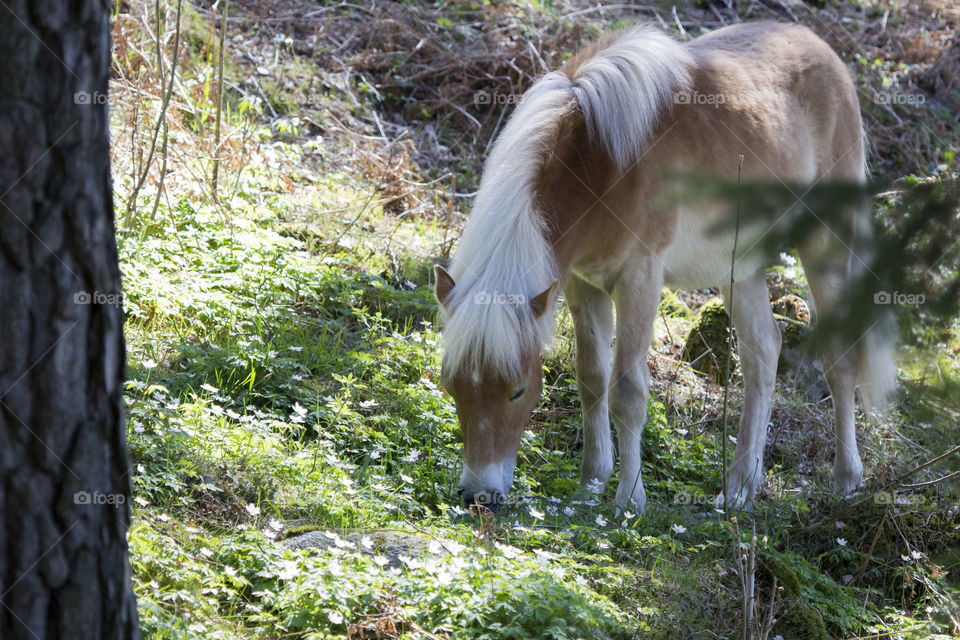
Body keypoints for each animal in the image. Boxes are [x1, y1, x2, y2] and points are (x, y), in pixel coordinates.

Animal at [433, 21, 896, 511]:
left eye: (518, 390)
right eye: (451, 384)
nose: (479, 495)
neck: (597, 162)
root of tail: (824, 51)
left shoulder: (640, 278)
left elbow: (628, 391)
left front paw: (629, 499)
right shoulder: (581, 283)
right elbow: (591, 379)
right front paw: (592, 482)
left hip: (825, 243)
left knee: (840, 358)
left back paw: (846, 478)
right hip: (741, 269)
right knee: (763, 353)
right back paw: (740, 487)